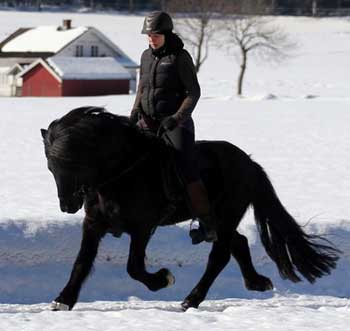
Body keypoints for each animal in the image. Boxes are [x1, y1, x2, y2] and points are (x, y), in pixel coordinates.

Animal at [41, 106, 340, 312]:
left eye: (72, 163)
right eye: (51, 167)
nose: (67, 206)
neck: (122, 173)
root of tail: (248, 163)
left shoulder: (143, 227)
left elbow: (134, 267)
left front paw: (164, 279)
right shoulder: (93, 224)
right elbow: (81, 262)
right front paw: (63, 300)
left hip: (226, 215)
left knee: (220, 256)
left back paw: (191, 299)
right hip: (219, 220)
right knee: (239, 243)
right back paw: (256, 282)